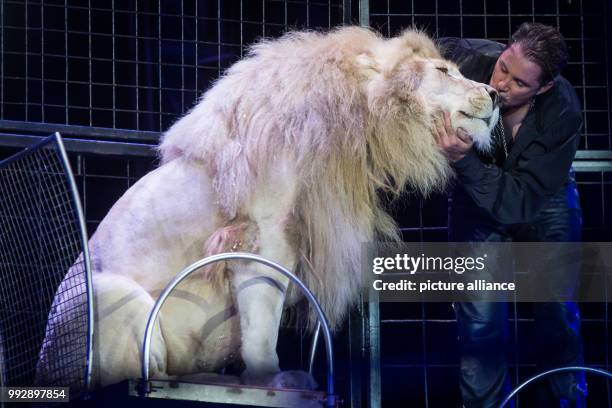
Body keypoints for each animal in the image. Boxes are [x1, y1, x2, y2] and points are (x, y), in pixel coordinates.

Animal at [35, 27, 500, 390]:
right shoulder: (260, 241)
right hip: (111, 295)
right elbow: (262, 330)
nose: (495, 93)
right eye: (443, 72)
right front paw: (273, 380)